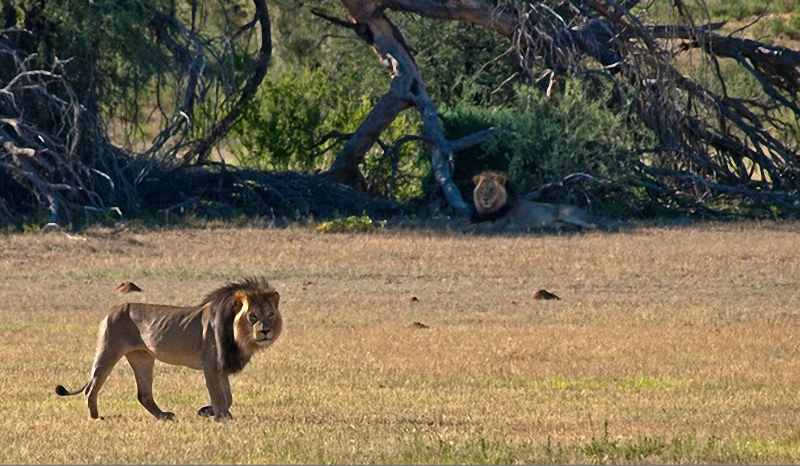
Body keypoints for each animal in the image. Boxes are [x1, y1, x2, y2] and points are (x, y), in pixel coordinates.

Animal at [55, 276, 282, 422]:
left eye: (270, 314)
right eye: (253, 316)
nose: (265, 331)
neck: (239, 335)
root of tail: (112, 310)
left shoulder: (221, 366)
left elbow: (228, 396)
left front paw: (208, 411)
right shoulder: (211, 364)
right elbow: (218, 394)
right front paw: (220, 417)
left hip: (142, 358)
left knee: (143, 394)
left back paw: (163, 416)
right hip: (108, 352)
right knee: (91, 387)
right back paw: (95, 417)